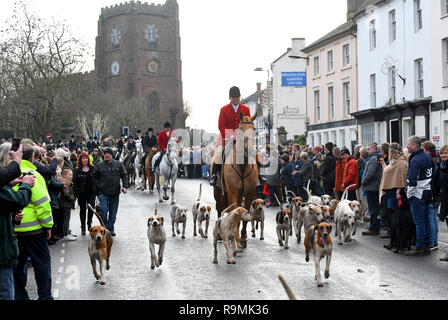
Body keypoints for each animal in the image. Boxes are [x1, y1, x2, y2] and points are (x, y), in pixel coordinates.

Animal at [214, 112, 258, 250]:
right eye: (240, 130)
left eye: (254, 129)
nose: (249, 149)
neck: (242, 166)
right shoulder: (232, 192)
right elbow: (234, 214)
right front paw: (237, 240)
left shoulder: (250, 193)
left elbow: (244, 215)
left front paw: (243, 239)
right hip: (219, 192)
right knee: (220, 208)